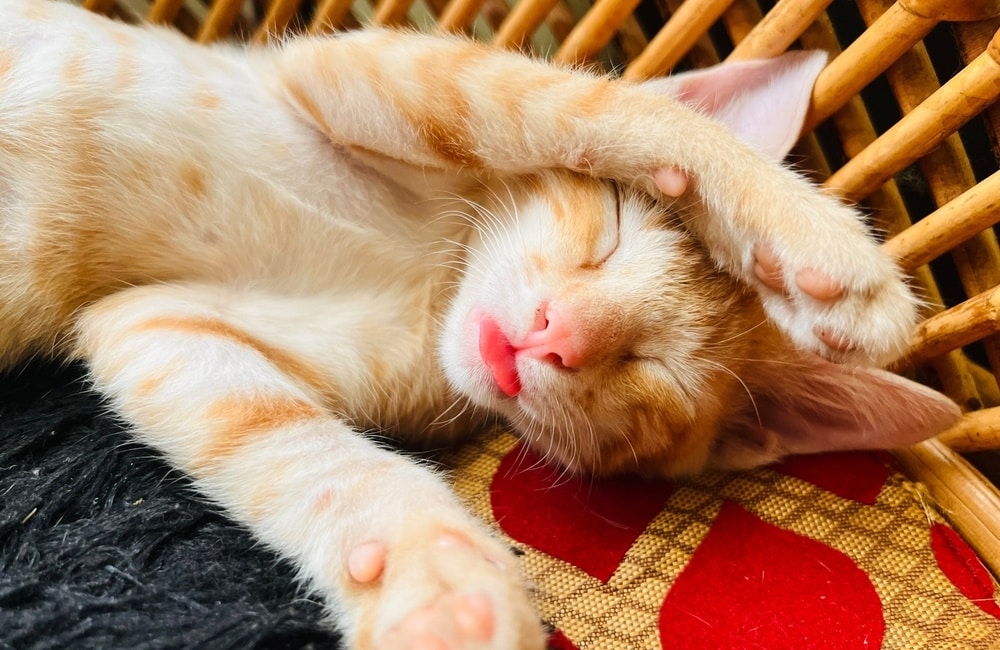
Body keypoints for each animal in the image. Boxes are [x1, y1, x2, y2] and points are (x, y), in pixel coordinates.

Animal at [0, 2, 960, 644]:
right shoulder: (345, 70)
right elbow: (570, 106)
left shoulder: (149, 322)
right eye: (614, 229)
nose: (553, 333)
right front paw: (805, 239)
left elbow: (281, 438)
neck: (436, 278)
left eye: (653, 368)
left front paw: (428, 577)